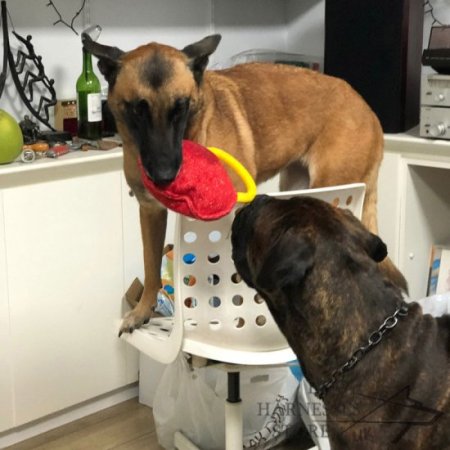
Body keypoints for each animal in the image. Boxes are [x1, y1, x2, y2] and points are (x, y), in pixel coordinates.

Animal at [81, 33, 408, 334]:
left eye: (181, 107)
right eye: (138, 110)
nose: (163, 175)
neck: (195, 133)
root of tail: (368, 109)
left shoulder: (235, 214)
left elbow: (234, 279)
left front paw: (240, 318)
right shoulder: (150, 212)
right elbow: (151, 267)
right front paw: (143, 310)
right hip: (297, 188)